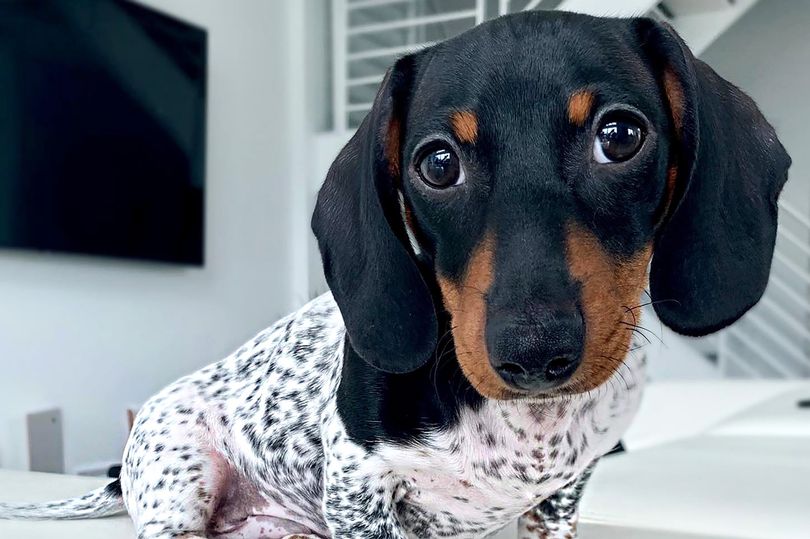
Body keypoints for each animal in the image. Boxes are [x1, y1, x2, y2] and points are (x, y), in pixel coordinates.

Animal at [0, 9, 784, 539]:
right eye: (438, 163)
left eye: (620, 136)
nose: (534, 352)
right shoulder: (359, 485)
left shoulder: (559, 501)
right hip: (180, 481)